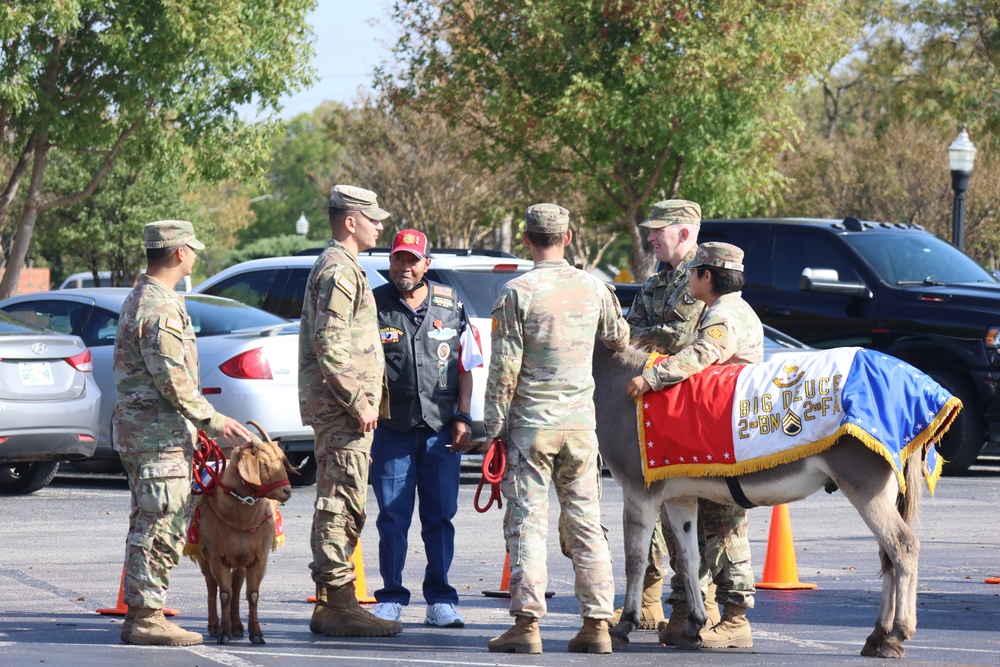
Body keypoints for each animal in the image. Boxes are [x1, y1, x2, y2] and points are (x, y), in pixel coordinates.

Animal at [191, 420, 292, 644]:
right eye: (263, 464)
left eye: (282, 461)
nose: (287, 491)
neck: (241, 520)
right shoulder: (216, 556)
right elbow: (224, 593)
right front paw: (224, 633)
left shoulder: (258, 557)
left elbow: (252, 594)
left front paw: (256, 634)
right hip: (204, 555)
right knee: (212, 585)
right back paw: (215, 626)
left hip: (239, 560)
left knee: (237, 585)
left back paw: (237, 626)